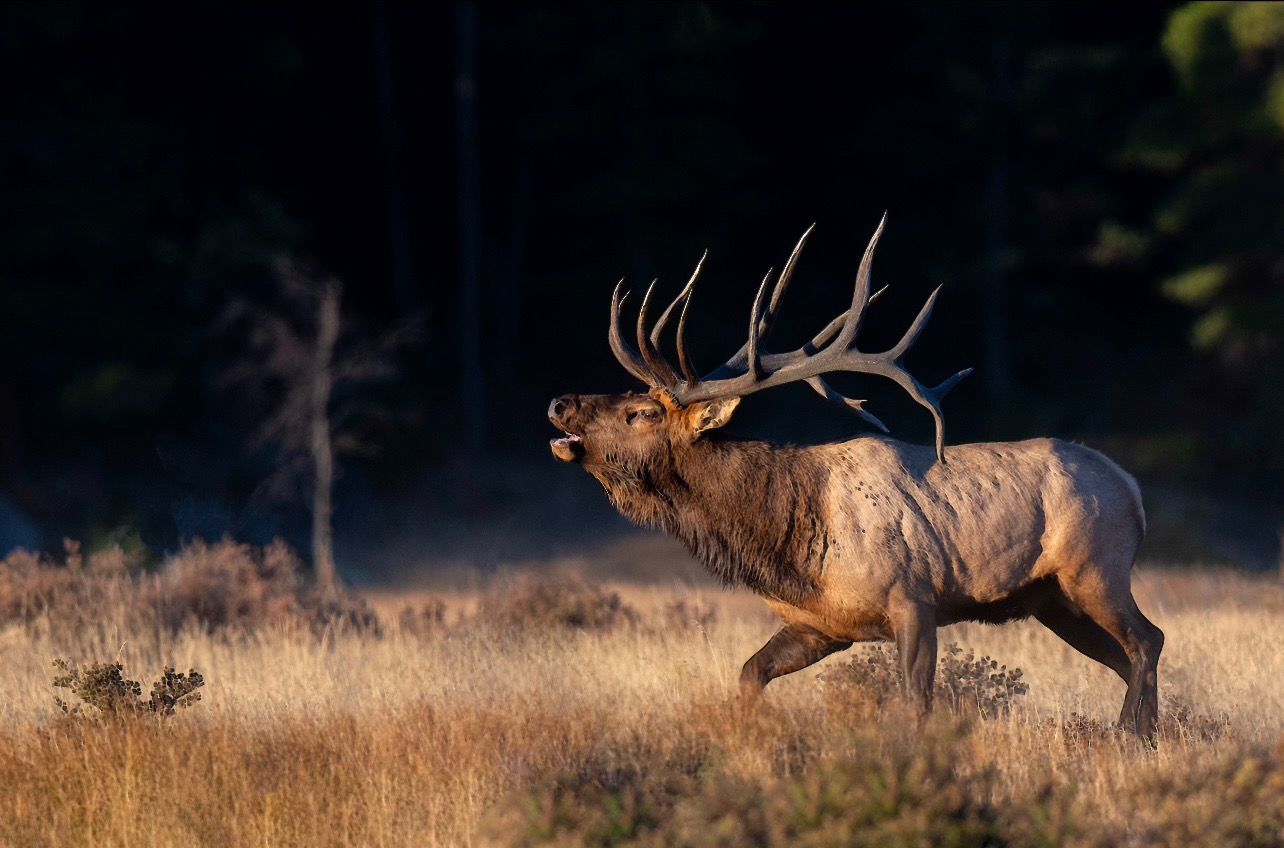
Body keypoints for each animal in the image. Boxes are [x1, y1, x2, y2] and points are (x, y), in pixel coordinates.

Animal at [548, 216, 1164, 740]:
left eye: (642, 413)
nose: (559, 403)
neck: (788, 541)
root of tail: (1133, 489)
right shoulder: (821, 626)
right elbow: (749, 673)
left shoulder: (913, 598)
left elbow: (914, 703)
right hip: (1053, 600)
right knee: (1126, 653)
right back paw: (1147, 732)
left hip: (1095, 568)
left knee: (1145, 639)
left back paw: (1131, 734)